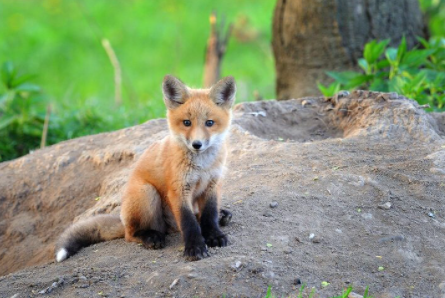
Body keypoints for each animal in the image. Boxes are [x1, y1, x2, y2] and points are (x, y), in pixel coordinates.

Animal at [54, 74, 236, 260]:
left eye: (209, 123)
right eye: (187, 122)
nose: (197, 144)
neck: (202, 166)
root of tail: (123, 220)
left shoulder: (213, 184)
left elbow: (209, 216)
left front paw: (214, 235)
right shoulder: (178, 189)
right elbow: (189, 223)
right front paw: (195, 247)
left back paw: (223, 215)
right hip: (147, 193)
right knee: (132, 234)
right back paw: (150, 237)